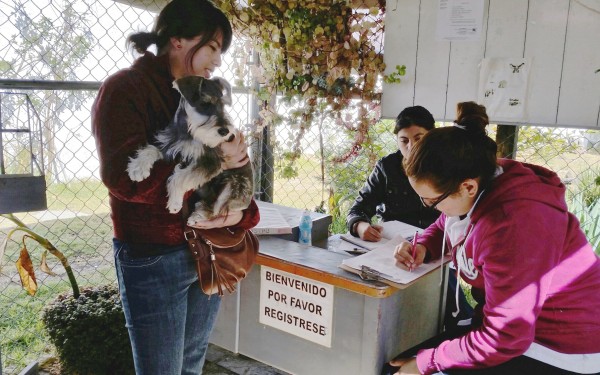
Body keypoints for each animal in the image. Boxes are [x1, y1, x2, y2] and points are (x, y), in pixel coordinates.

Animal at [128, 75, 253, 225]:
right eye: (204, 104)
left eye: (223, 106)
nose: (226, 131)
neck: (188, 132)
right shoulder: (168, 146)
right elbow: (150, 150)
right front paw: (137, 168)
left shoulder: (211, 162)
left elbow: (180, 178)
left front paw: (175, 202)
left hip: (231, 190)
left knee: (216, 210)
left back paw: (197, 216)